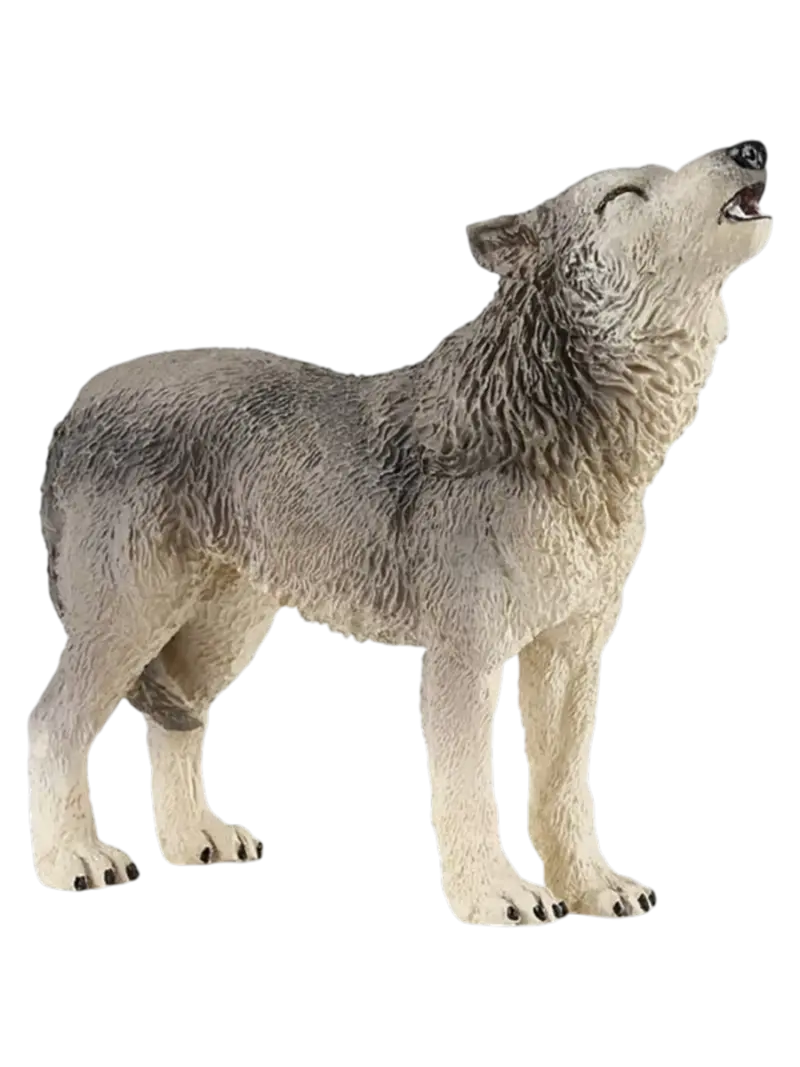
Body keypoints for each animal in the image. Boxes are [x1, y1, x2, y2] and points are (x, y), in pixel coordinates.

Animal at [28, 145, 773, 921]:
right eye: (623, 195)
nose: (746, 152)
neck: (571, 435)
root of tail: (82, 401)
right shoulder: (464, 657)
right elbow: (468, 790)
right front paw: (498, 896)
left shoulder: (571, 655)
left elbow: (565, 790)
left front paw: (595, 887)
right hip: (130, 623)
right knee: (52, 724)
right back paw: (72, 858)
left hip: (223, 634)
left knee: (176, 721)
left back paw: (195, 840)